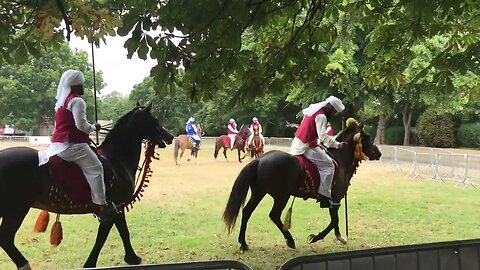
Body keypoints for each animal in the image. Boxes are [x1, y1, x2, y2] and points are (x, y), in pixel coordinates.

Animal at [0, 103, 174, 268]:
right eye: (154, 120)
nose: (170, 136)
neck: (116, 161)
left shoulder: (118, 208)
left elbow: (122, 232)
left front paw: (132, 258)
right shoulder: (113, 209)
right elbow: (104, 237)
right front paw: (91, 263)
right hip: (16, 209)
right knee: (6, 238)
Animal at [222, 120, 382, 251]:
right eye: (367, 137)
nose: (378, 153)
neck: (339, 159)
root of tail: (260, 160)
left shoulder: (334, 201)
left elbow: (334, 220)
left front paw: (339, 237)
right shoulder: (335, 199)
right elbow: (334, 220)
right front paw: (318, 237)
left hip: (259, 193)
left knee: (247, 212)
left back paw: (244, 243)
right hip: (281, 196)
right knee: (274, 215)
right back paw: (290, 240)